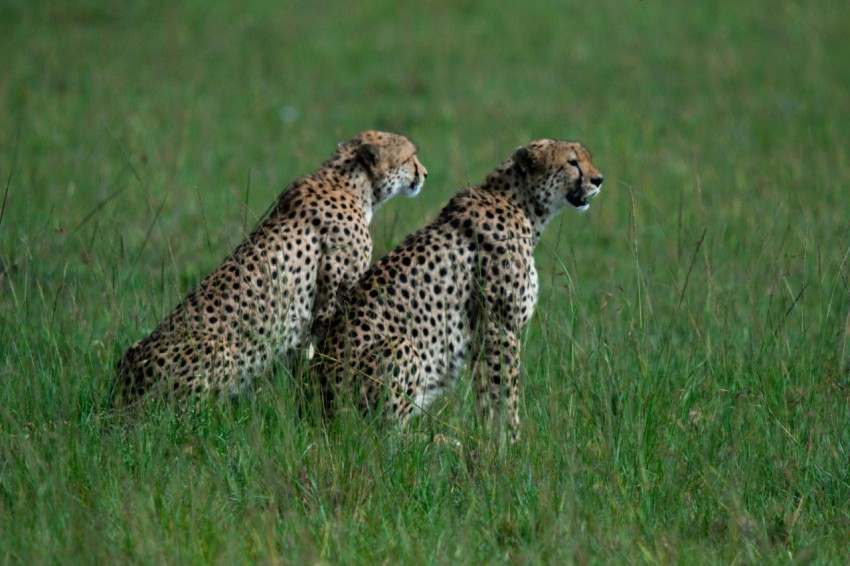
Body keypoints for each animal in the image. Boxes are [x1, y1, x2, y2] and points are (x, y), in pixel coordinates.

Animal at [116, 130, 428, 404]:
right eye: (411, 156)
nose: (424, 174)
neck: (346, 182)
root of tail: (126, 387)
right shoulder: (332, 300)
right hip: (218, 353)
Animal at [314, 140, 600, 442]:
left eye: (586, 158)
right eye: (572, 162)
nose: (598, 180)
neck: (521, 204)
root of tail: (313, 408)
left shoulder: (481, 334)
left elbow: (487, 392)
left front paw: (491, 439)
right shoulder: (499, 326)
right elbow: (505, 389)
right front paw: (512, 440)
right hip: (400, 348)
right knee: (382, 435)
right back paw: (442, 440)